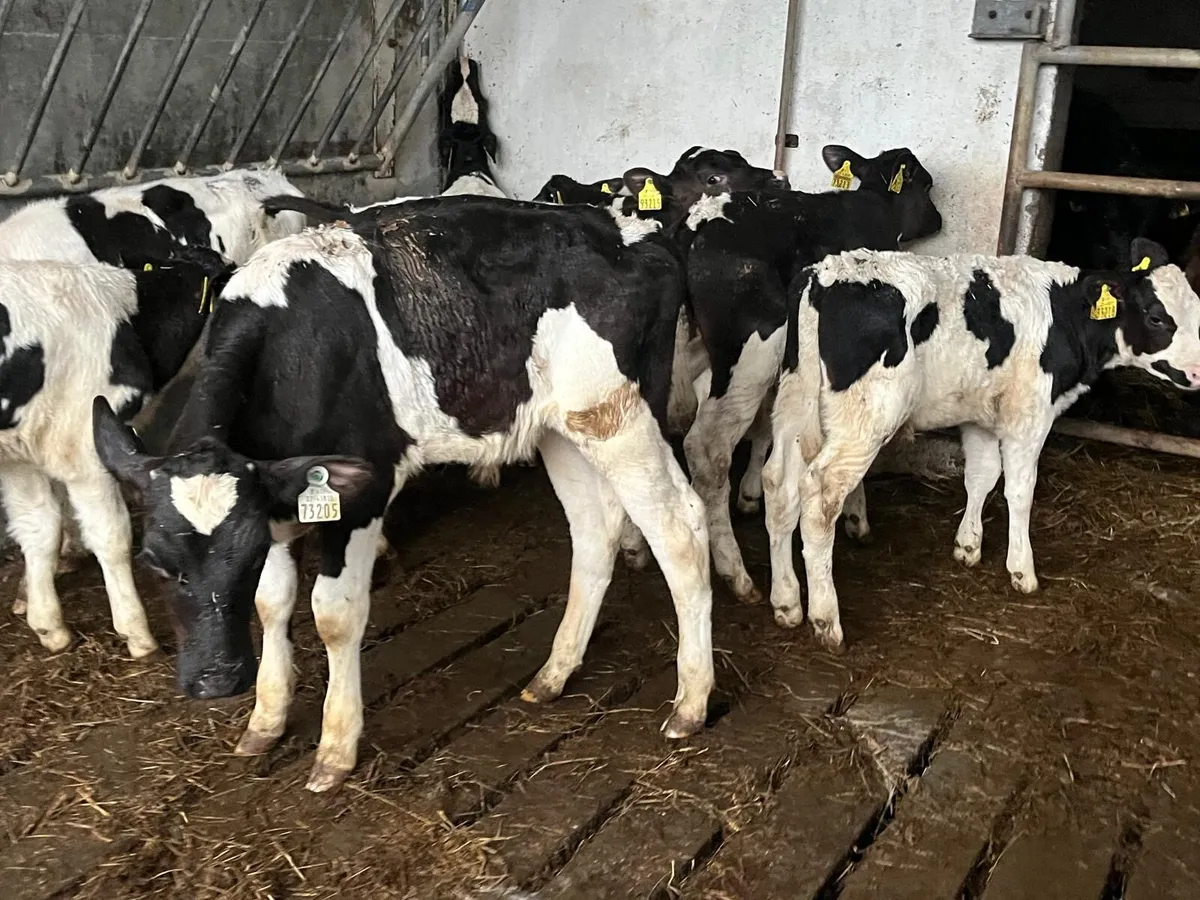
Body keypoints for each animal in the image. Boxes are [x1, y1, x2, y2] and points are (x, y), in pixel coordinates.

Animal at [0, 247, 234, 656]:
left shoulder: (22, 453)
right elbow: (112, 538)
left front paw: (48, 625)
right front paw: (136, 632)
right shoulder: (83, 448)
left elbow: (39, 527)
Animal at [92, 193, 716, 793]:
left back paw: (691, 702)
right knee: (593, 530)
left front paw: (335, 748)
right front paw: (265, 719)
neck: (289, 349)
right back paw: (554, 673)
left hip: (621, 416)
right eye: (154, 560)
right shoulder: (271, 497)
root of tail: (630, 231)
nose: (216, 679)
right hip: (560, 427)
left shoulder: (362, 487)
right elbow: (273, 603)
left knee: (680, 529)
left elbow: (333, 614)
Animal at [619, 145, 943, 603]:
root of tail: (693, 227)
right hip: (754, 349)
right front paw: (857, 518)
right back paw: (737, 574)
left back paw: (635, 544)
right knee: (706, 448)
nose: (938, 219)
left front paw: (752, 492)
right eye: (926, 184)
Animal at [759, 239, 1200, 650]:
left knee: (778, 484)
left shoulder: (980, 415)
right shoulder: (1029, 416)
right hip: (864, 419)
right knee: (820, 498)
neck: (1064, 316)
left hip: (795, 403)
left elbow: (981, 477)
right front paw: (1022, 568)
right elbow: (1020, 491)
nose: (1197, 373)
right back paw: (825, 618)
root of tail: (825, 275)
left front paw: (968, 545)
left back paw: (786, 602)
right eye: (1157, 317)